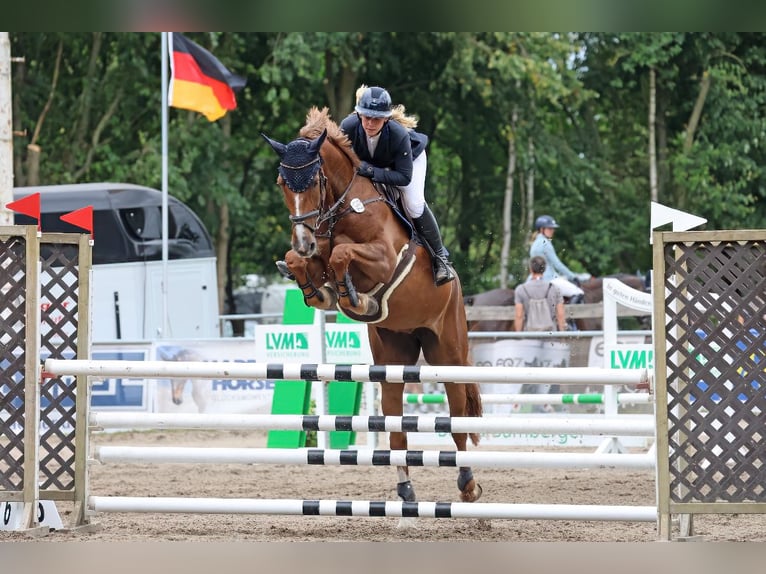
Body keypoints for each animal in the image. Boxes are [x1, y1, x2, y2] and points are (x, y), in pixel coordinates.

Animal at [260, 107, 484, 508]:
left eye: (314, 181)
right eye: (282, 182)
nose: (303, 240)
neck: (341, 210)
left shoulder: (382, 260)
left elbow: (342, 254)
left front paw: (354, 296)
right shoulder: (315, 254)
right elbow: (310, 264)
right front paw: (323, 292)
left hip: (448, 351)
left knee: (457, 416)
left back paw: (468, 484)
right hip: (393, 356)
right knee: (395, 424)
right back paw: (405, 488)